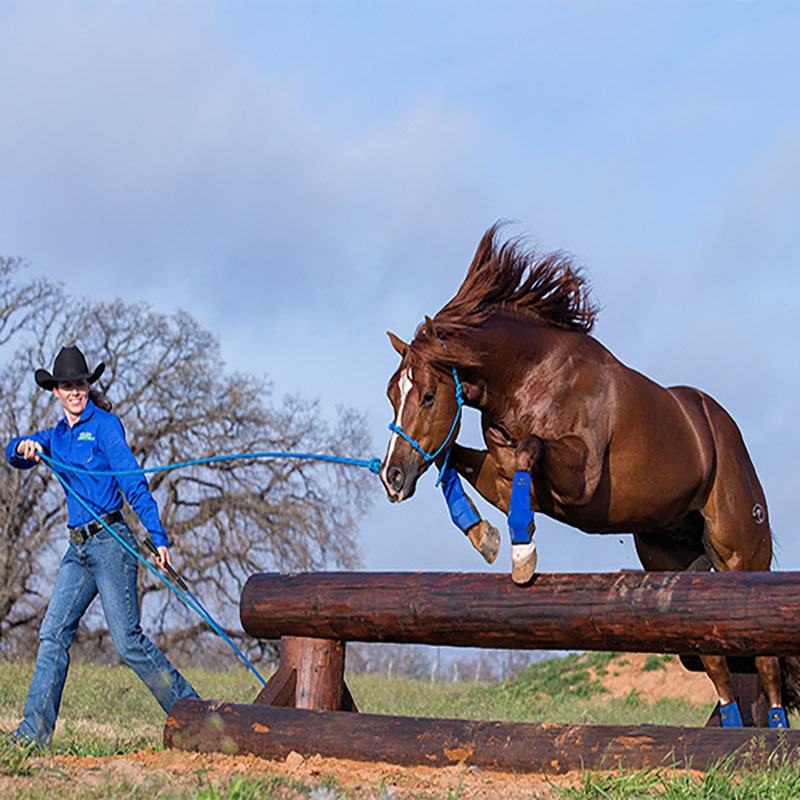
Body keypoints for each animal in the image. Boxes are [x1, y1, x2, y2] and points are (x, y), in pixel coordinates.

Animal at [380, 223, 799, 727]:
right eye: (391, 394)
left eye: (426, 395)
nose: (392, 477)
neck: (529, 376)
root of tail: (725, 432)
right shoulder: (501, 477)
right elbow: (454, 457)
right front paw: (483, 535)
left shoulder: (580, 479)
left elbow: (529, 449)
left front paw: (522, 552)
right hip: (673, 561)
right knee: (717, 661)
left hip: (740, 554)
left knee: (767, 664)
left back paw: (772, 734)